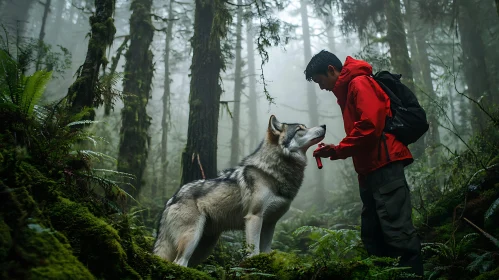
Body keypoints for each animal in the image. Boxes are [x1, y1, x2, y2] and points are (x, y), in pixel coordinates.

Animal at [154, 115, 326, 266]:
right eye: (300, 129)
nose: (324, 126)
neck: (271, 172)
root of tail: (171, 199)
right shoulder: (254, 218)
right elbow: (254, 251)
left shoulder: (270, 223)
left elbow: (266, 251)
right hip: (191, 239)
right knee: (179, 262)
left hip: (204, 247)